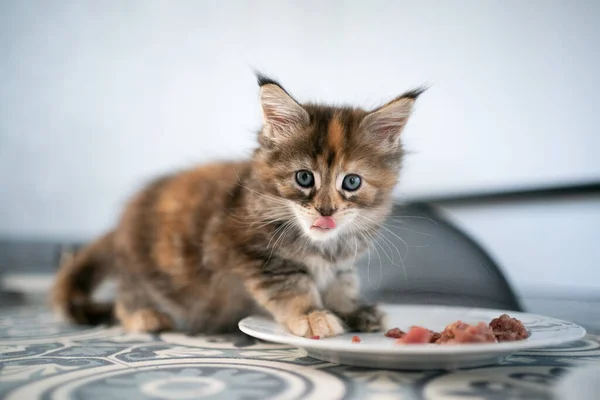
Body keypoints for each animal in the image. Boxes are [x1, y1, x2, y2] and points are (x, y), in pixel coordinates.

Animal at [51, 75, 422, 338]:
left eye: (351, 183)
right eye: (304, 178)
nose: (326, 211)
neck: (322, 248)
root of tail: (121, 223)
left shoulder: (340, 266)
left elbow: (341, 287)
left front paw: (354, 310)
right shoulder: (257, 256)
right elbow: (293, 288)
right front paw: (312, 315)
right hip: (142, 266)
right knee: (128, 295)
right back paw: (145, 316)